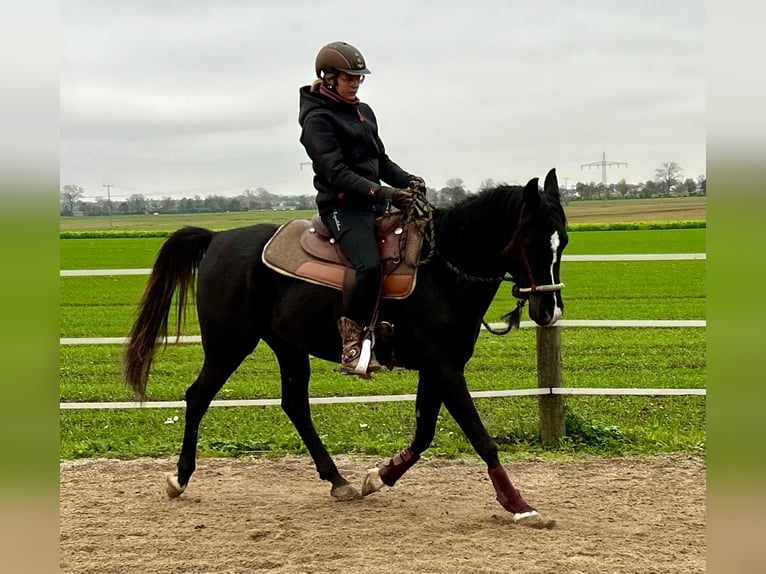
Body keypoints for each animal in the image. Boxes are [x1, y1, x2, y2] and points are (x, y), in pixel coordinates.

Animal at [124, 168, 568, 532]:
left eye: (561, 240)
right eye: (531, 239)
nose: (550, 309)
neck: (439, 270)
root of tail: (218, 238)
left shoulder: (438, 368)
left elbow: (424, 434)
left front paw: (379, 477)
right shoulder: (444, 369)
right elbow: (480, 438)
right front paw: (519, 505)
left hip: (287, 346)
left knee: (294, 405)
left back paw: (339, 481)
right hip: (228, 346)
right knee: (197, 397)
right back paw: (179, 479)